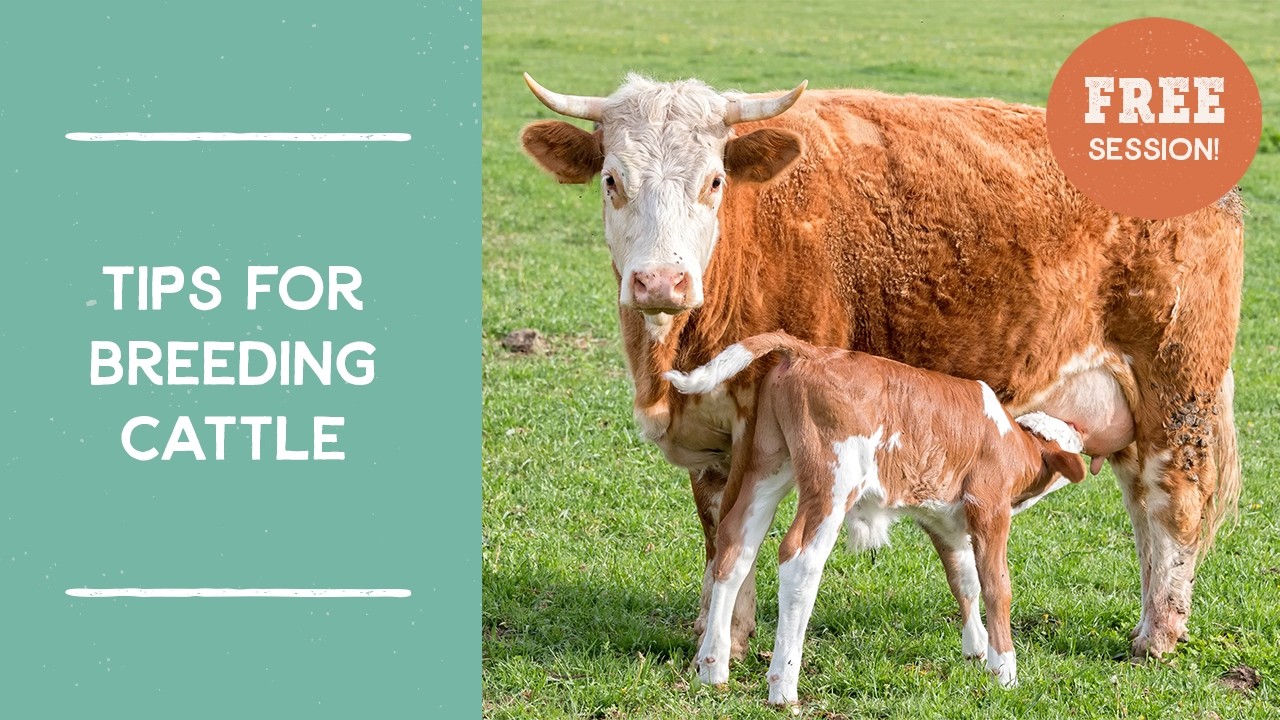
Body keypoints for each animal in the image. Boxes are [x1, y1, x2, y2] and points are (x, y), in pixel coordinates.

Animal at [518, 72, 1242, 665]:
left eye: (714, 181)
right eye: (613, 180)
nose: (660, 282)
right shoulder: (715, 437)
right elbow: (721, 527)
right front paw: (721, 633)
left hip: (1175, 388)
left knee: (1174, 503)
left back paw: (1158, 637)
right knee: (1142, 499)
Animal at [665, 331, 1088, 703]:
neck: (1010, 439)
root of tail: (809, 351)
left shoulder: (943, 520)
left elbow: (963, 579)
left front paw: (976, 649)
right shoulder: (989, 509)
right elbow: (997, 586)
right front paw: (1005, 672)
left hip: (766, 465)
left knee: (735, 545)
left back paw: (712, 669)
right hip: (834, 481)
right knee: (800, 559)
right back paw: (783, 688)